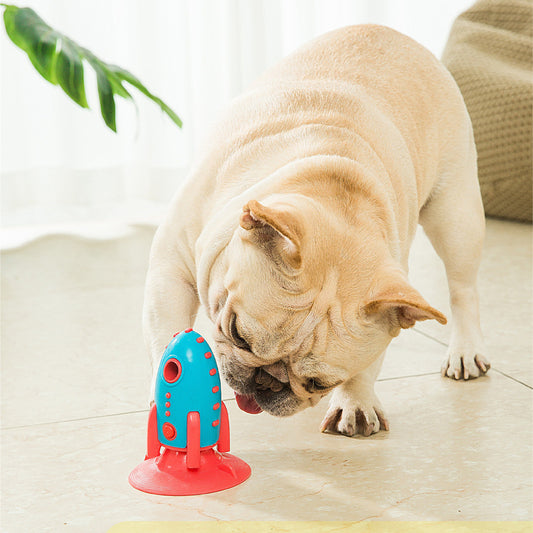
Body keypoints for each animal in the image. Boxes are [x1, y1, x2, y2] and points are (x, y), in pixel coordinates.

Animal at [142, 23, 490, 436]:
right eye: (238, 333)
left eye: (317, 383)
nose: (265, 382)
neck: (330, 179)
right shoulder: (170, 271)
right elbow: (166, 334)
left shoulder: (387, 301)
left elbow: (366, 367)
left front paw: (356, 402)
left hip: (456, 214)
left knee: (463, 288)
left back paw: (466, 350)